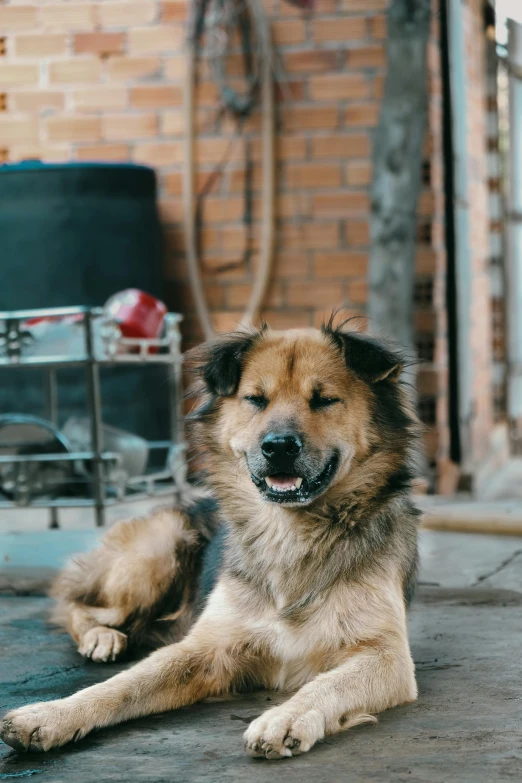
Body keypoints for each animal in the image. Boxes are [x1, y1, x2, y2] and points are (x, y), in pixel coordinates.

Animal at [0, 318, 418, 760]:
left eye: (323, 400)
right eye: (256, 400)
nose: (278, 447)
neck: (289, 533)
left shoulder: (386, 656)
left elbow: (327, 684)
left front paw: (284, 717)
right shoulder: (206, 645)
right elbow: (124, 683)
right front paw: (51, 714)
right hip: (160, 549)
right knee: (77, 604)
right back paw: (102, 638)